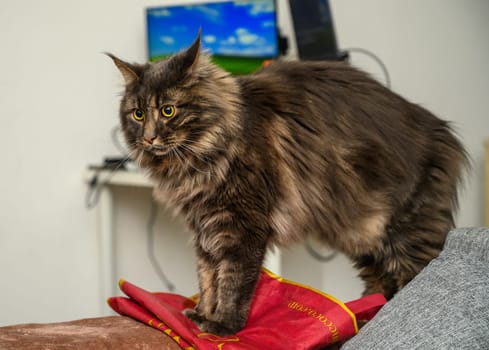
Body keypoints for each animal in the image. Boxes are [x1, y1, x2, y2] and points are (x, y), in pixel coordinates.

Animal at [107, 33, 468, 336]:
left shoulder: (243, 227)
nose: (149, 137)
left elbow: (233, 281)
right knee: (381, 283)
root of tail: (444, 132)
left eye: (168, 111)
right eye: (138, 114)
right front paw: (201, 315)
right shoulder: (204, 229)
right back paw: (362, 318)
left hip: (405, 233)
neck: (200, 156)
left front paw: (223, 325)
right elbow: (208, 278)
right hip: (363, 235)